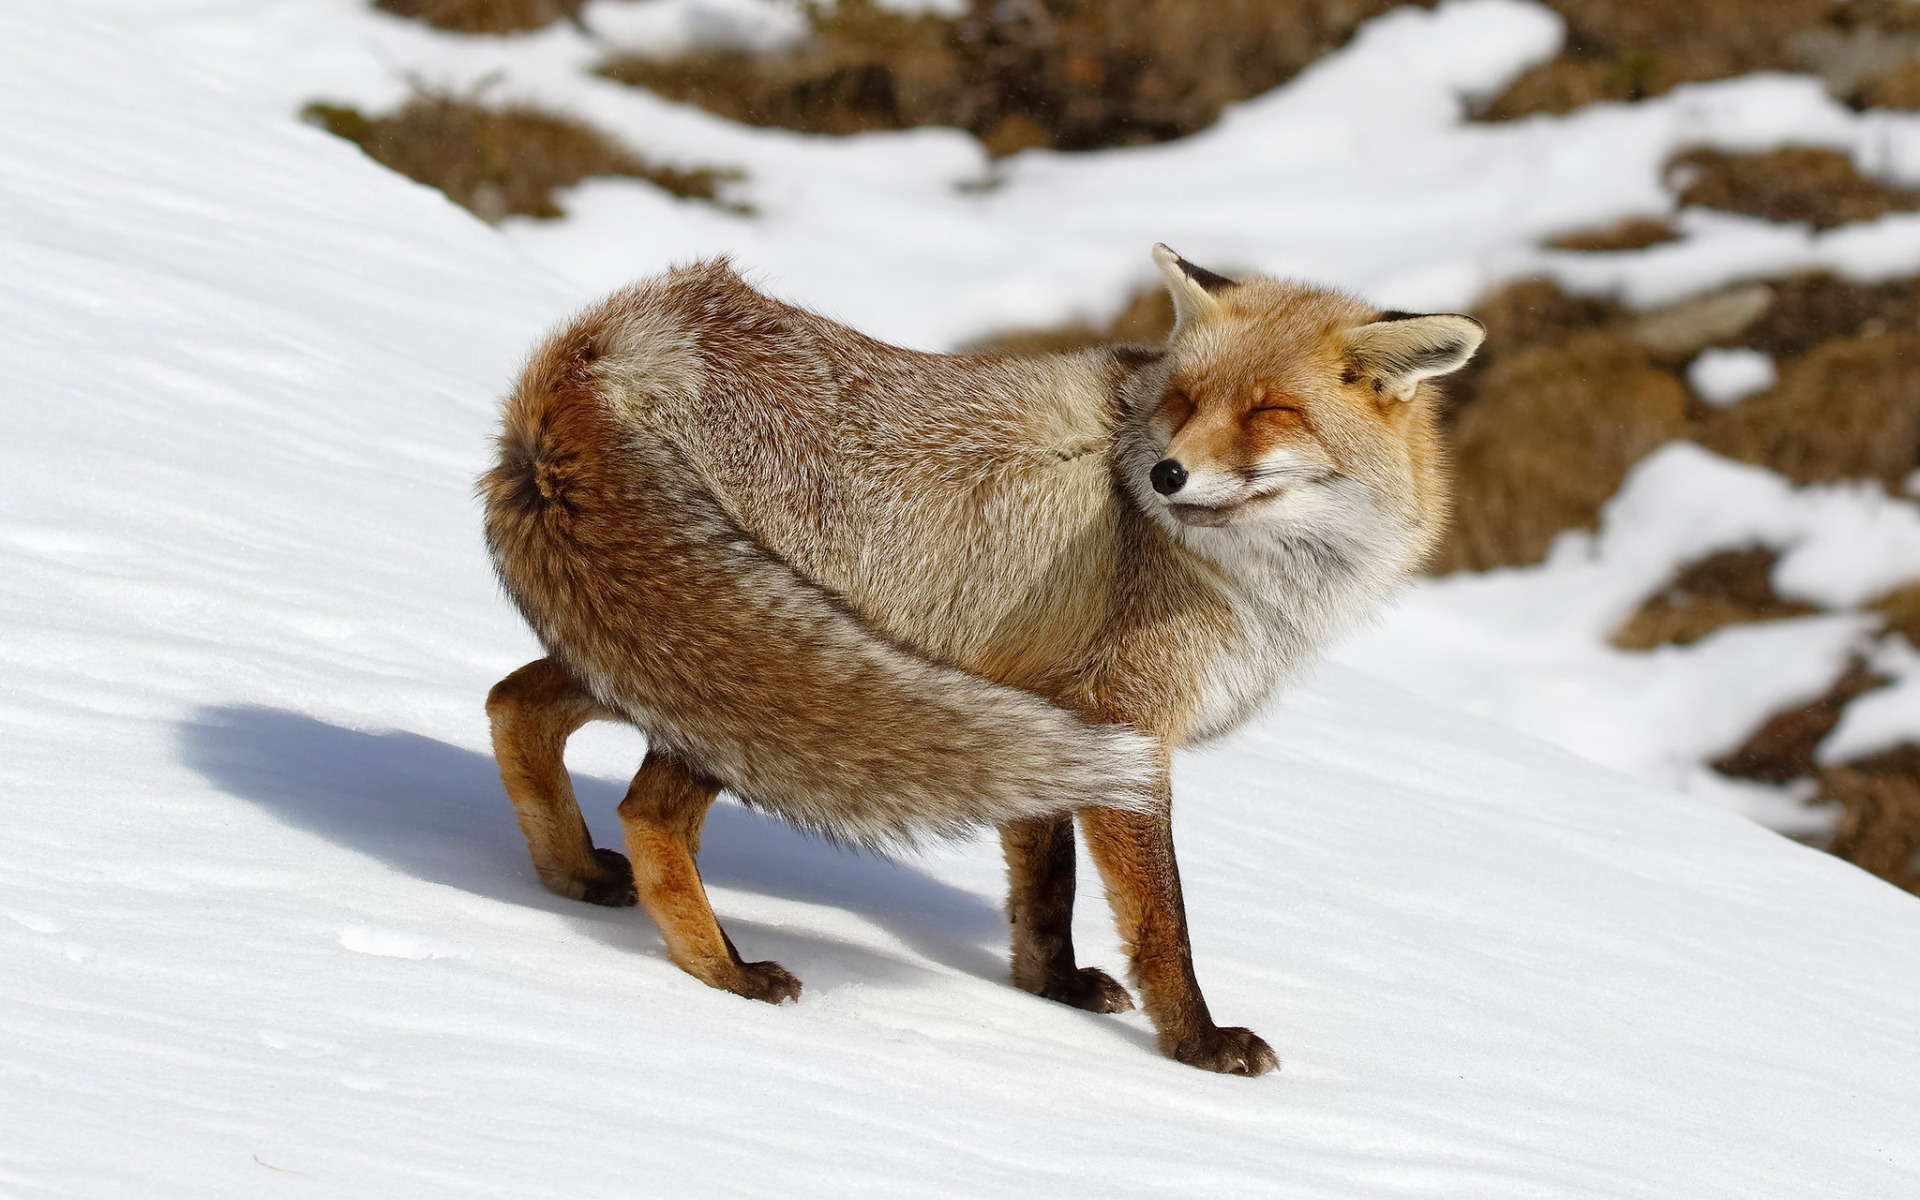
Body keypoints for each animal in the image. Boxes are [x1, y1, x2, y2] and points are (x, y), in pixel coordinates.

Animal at [480, 245, 1482, 1075]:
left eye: (1271, 412)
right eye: (1184, 404)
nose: (1166, 474)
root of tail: (623, 338)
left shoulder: (1046, 709)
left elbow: (1046, 889)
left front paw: (1051, 990)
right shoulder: (1125, 727)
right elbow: (1163, 924)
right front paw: (1195, 1044)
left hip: (687, 649)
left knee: (512, 702)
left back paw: (574, 876)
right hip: (753, 686)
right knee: (649, 814)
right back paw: (725, 973)